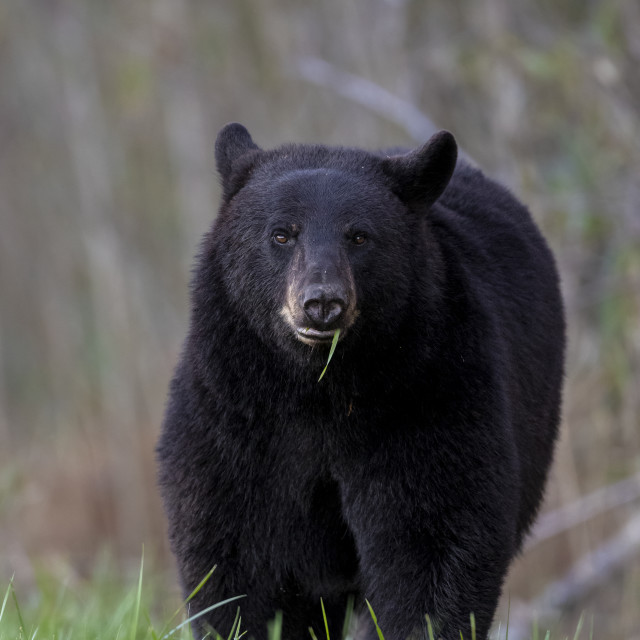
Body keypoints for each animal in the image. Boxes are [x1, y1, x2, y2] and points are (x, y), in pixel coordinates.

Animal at [159, 124, 564, 640]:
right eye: (281, 234)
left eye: (359, 236)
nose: (322, 303)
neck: (318, 391)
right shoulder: (234, 417)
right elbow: (235, 556)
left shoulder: (430, 394)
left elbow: (434, 539)